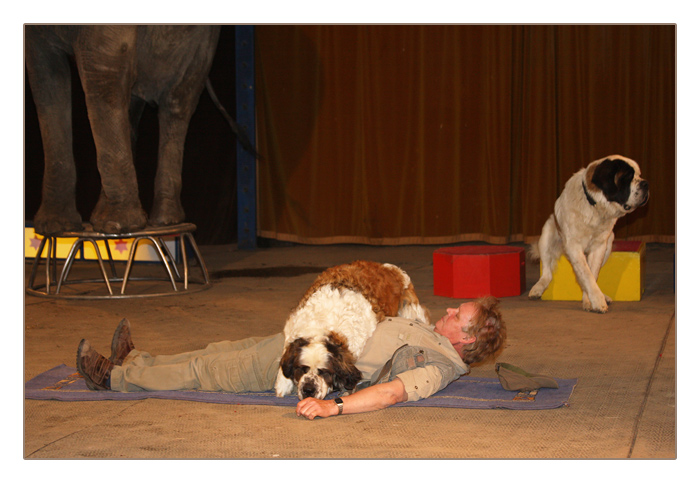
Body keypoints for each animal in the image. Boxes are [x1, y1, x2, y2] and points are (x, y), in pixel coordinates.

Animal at [274, 260, 426, 400]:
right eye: (301, 369)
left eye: (325, 372)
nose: (308, 390)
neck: (321, 328)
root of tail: (391, 269)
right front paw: (282, 384)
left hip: (410, 311)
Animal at [532, 155, 652, 314]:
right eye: (627, 177)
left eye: (639, 175)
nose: (645, 183)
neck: (594, 206)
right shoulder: (573, 246)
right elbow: (586, 274)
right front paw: (597, 300)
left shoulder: (599, 246)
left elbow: (591, 273)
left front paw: (590, 300)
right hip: (547, 233)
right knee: (547, 272)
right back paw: (537, 288)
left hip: (609, 241)